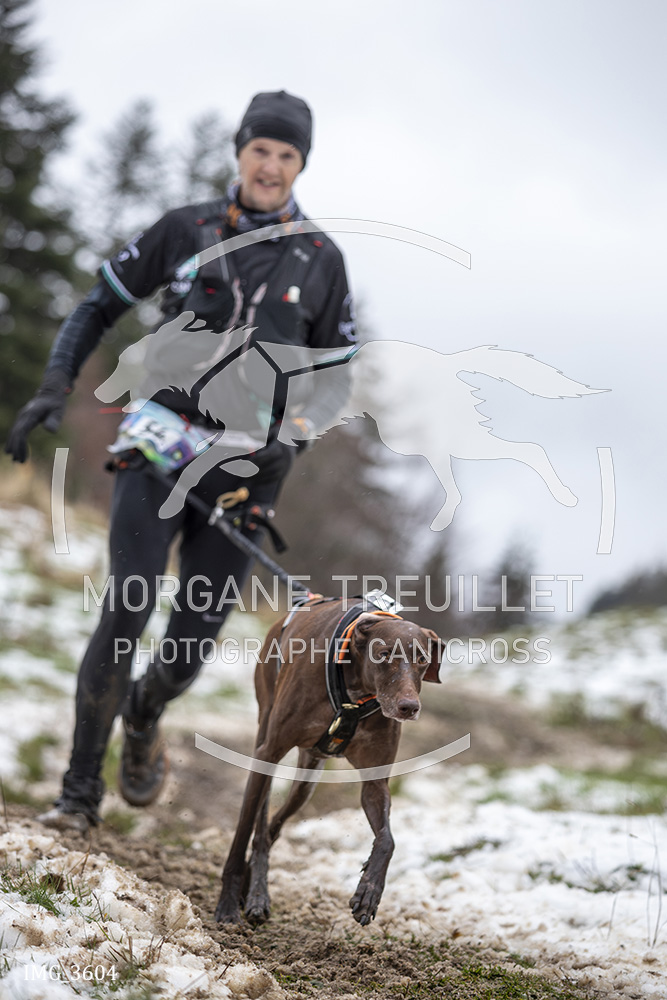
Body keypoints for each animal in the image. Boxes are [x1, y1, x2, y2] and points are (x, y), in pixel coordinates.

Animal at [214, 597, 443, 926]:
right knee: (259, 820)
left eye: (422, 659)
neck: (354, 692)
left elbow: (387, 840)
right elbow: (242, 833)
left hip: (306, 783)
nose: (409, 707)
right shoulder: (268, 753)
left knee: (271, 829)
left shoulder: (375, 783)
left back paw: (256, 891)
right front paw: (228, 905)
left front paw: (369, 891)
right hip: (266, 735)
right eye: (384, 654)